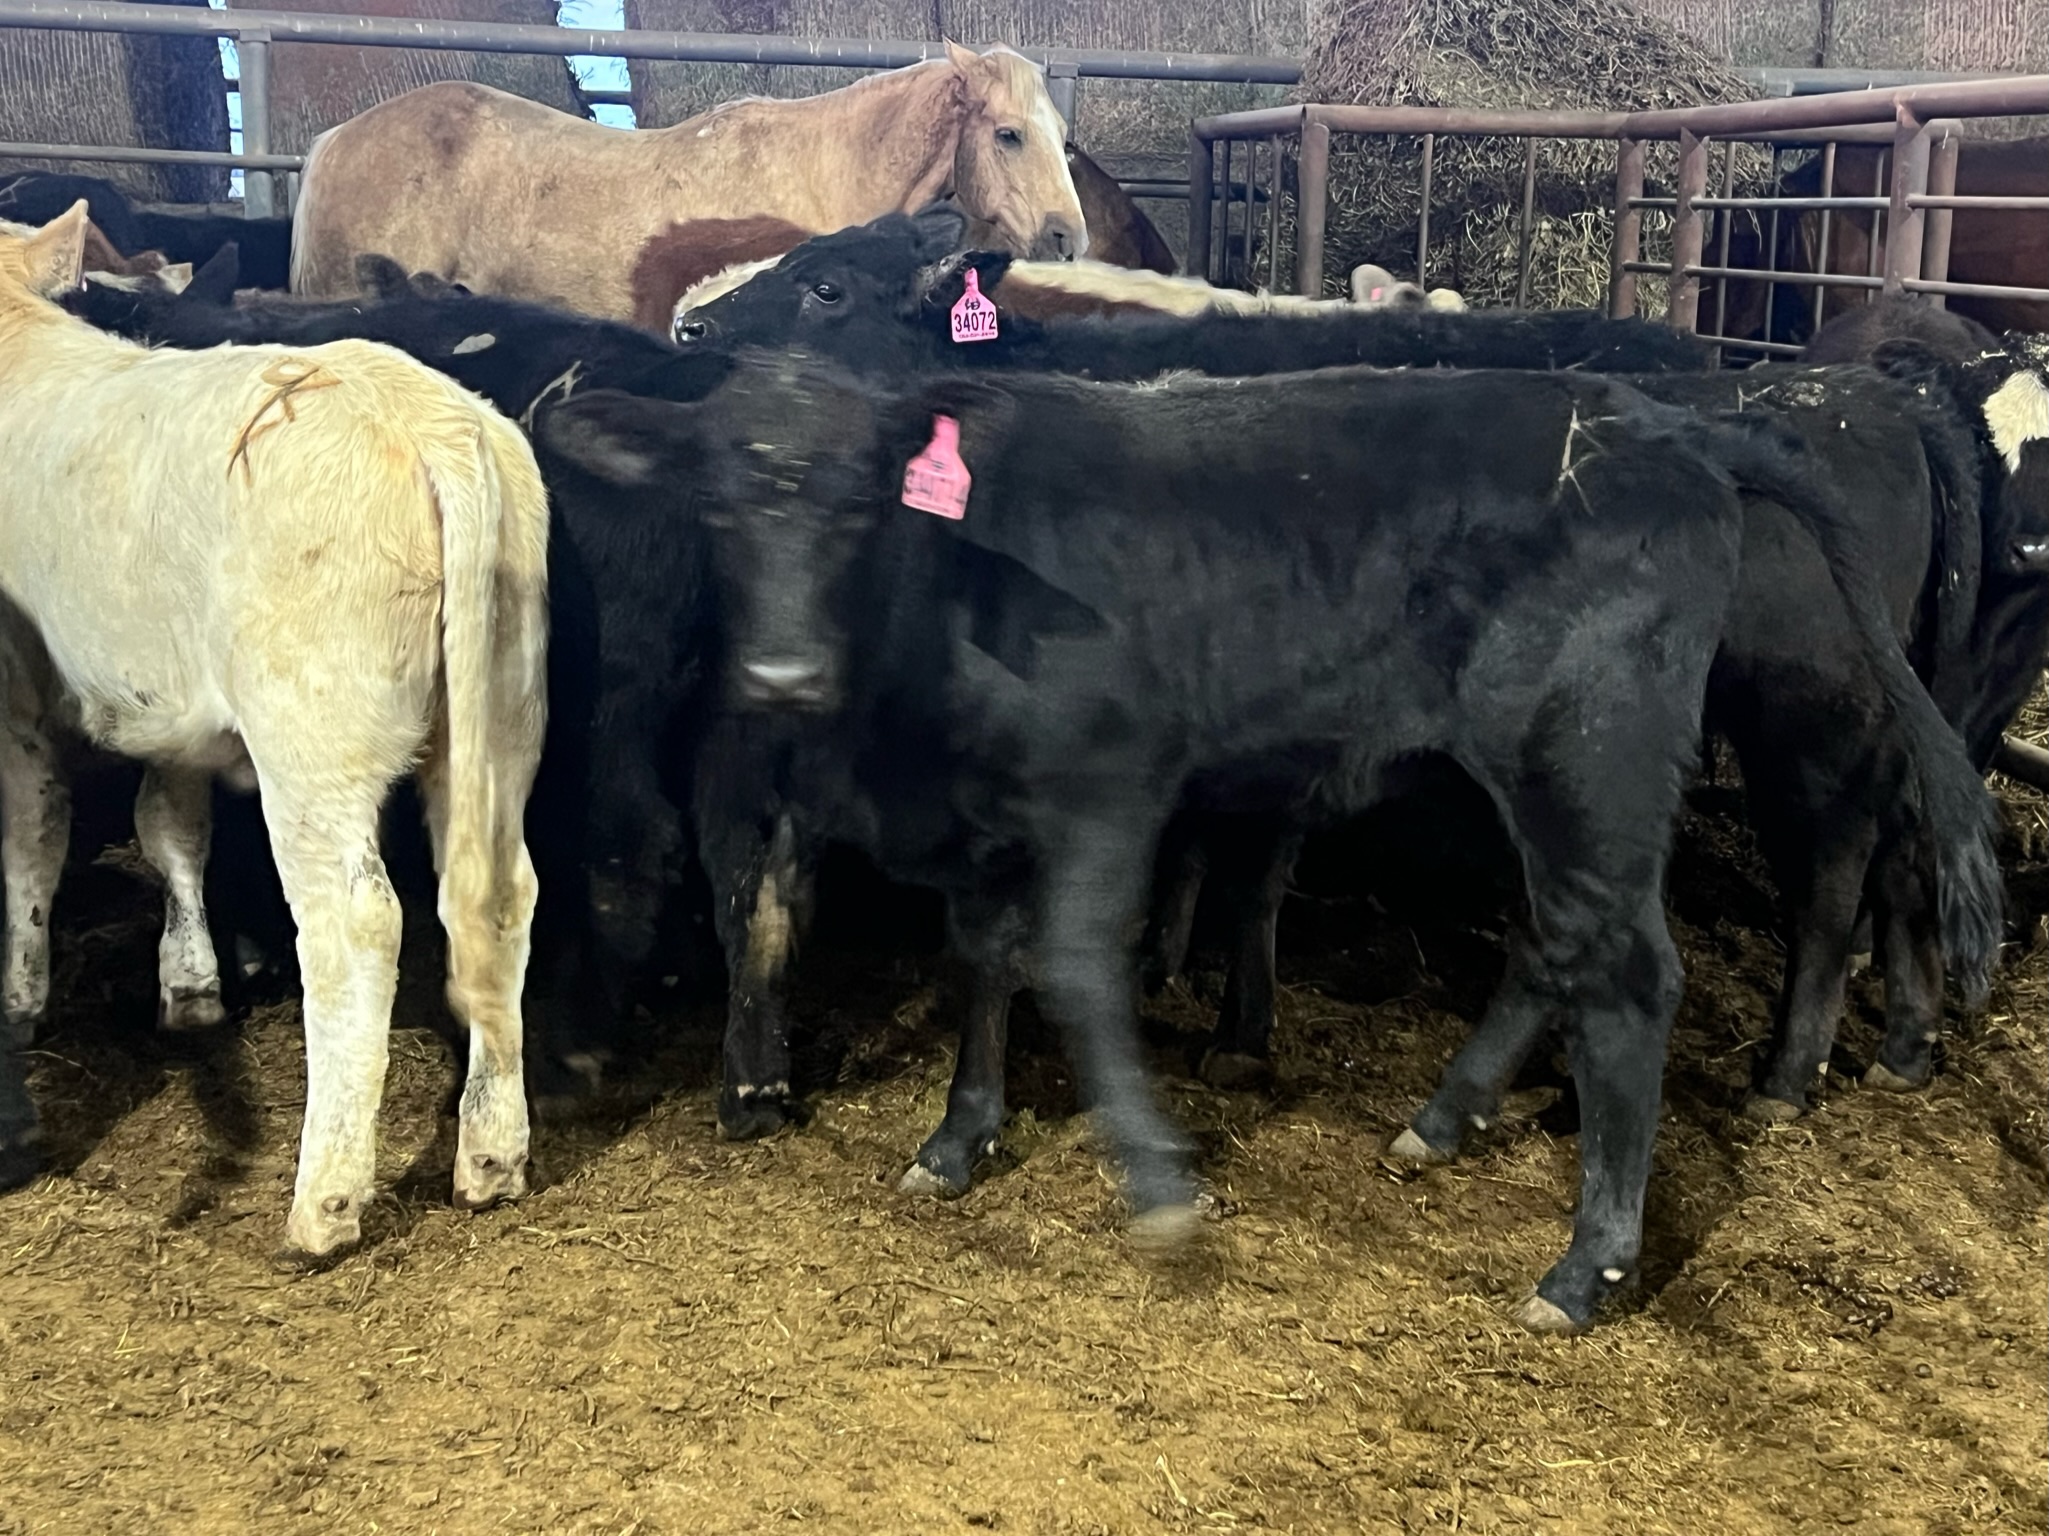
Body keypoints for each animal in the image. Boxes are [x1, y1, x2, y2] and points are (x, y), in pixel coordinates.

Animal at [0, 205, 551, 1262]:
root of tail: (433, 421)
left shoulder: (14, 688)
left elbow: (32, 837)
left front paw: (19, 997)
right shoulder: (170, 704)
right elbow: (171, 826)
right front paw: (189, 986)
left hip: (313, 734)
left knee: (355, 923)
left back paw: (324, 1202)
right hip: (503, 710)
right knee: (500, 896)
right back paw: (492, 1156)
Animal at [537, 349, 2000, 1331]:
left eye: (859, 501)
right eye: (719, 506)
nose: (780, 678)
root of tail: (1667, 423)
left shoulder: (1110, 784)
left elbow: (1075, 970)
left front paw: (1156, 1179)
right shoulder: (995, 818)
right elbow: (986, 963)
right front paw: (961, 1139)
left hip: (1594, 757)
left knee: (1636, 974)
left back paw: (1588, 1266)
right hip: (1538, 781)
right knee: (1554, 944)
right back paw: (1444, 1121)